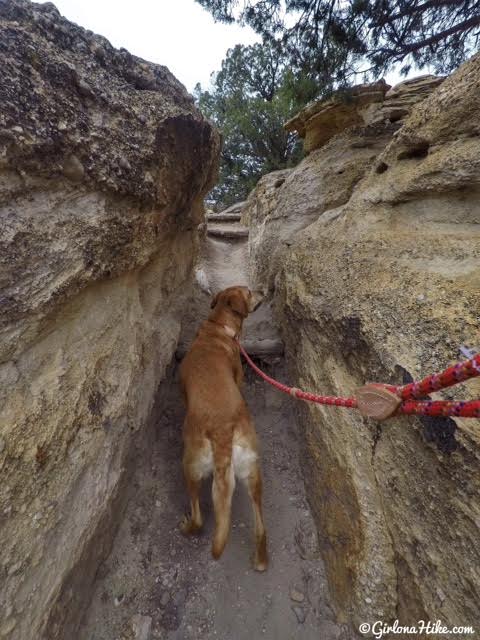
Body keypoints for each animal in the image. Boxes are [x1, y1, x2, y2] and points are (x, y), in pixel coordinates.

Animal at [180, 284, 268, 568]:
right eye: (250, 292)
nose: (264, 290)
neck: (219, 326)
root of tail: (223, 431)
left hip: (191, 465)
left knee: (198, 516)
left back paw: (188, 527)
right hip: (253, 471)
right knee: (260, 526)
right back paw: (261, 560)